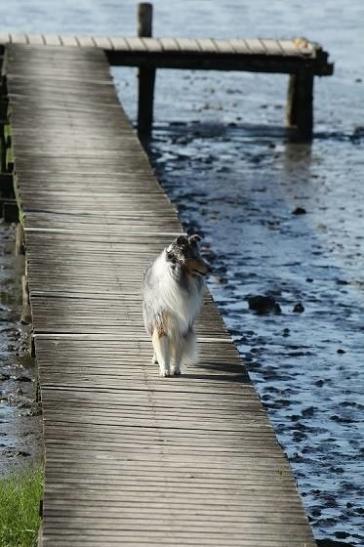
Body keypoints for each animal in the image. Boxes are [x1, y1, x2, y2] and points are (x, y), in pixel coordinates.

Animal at [143, 233, 209, 378]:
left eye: (199, 255)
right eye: (193, 257)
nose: (210, 269)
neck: (180, 280)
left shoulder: (182, 324)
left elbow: (178, 349)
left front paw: (175, 369)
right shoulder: (161, 320)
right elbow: (162, 347)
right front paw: (165, 370)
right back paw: (155, 359)